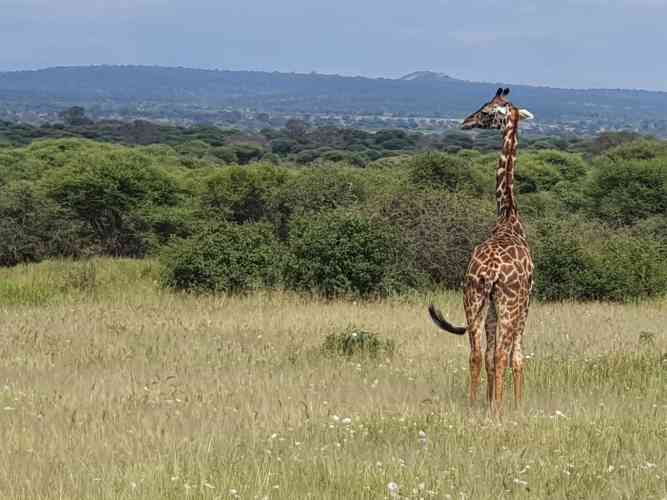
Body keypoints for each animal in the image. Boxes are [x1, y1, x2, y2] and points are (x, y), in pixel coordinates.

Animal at [428, 87, 535, 415]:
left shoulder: (489, 306)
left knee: (476, 354)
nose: (466, 121)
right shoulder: (526, 302)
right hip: (508, 303)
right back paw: (496, 410)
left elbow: (488, 355)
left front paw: (491, 400)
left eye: (486, 111)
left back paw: (474, 404)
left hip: (472, 296)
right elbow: (517, 358)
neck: (508, 217)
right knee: (500, 354)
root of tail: (489, 272)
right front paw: (516, 405)